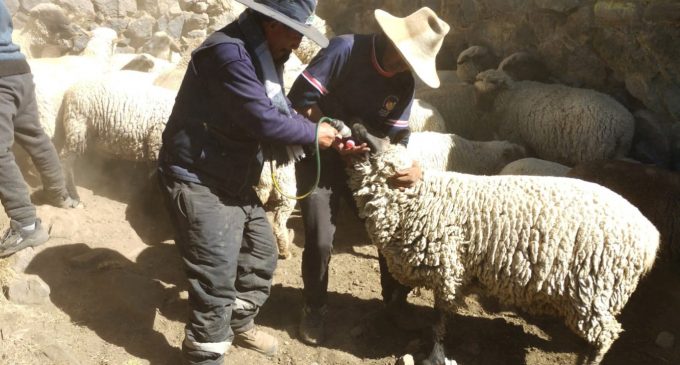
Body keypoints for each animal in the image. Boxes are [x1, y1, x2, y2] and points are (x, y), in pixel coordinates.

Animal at [346, 123, 660, 364]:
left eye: (374, 142)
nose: (357, 125)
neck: (420, 198)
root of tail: (649, 237)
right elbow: (403, 297)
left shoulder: (447, 270)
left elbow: (440, 320)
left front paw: (435, 353)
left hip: (596, 291)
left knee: (604, 337)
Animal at [472, 68, 636, 165]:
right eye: (476, 91)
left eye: (491, 91)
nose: (477, 112)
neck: (509, 97)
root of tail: (625, 127)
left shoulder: (517, 137)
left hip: (593, 151)